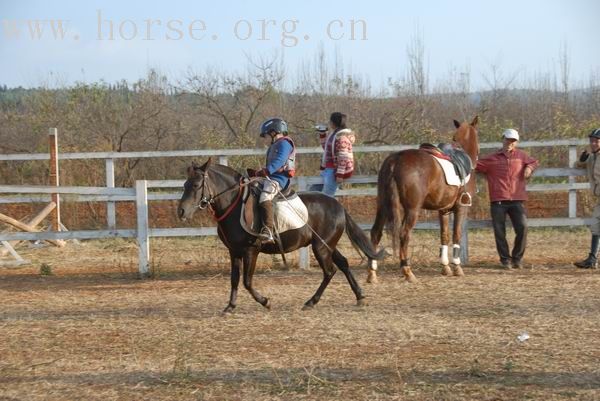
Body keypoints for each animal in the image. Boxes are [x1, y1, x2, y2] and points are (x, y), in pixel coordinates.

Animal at [178, 159, 384, 312]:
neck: (234, 206)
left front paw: (265, 301)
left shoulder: (251, 250)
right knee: (343, 264)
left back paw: (311, 302)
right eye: (185, 184)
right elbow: (235, 279)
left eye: (196, 185)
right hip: (327, 245)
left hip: (321, 247)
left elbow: (247, 281)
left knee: (329, 271)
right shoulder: (234, 251)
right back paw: (359, 296)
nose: (181, 211)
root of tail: (338, 206)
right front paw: (230, 306)